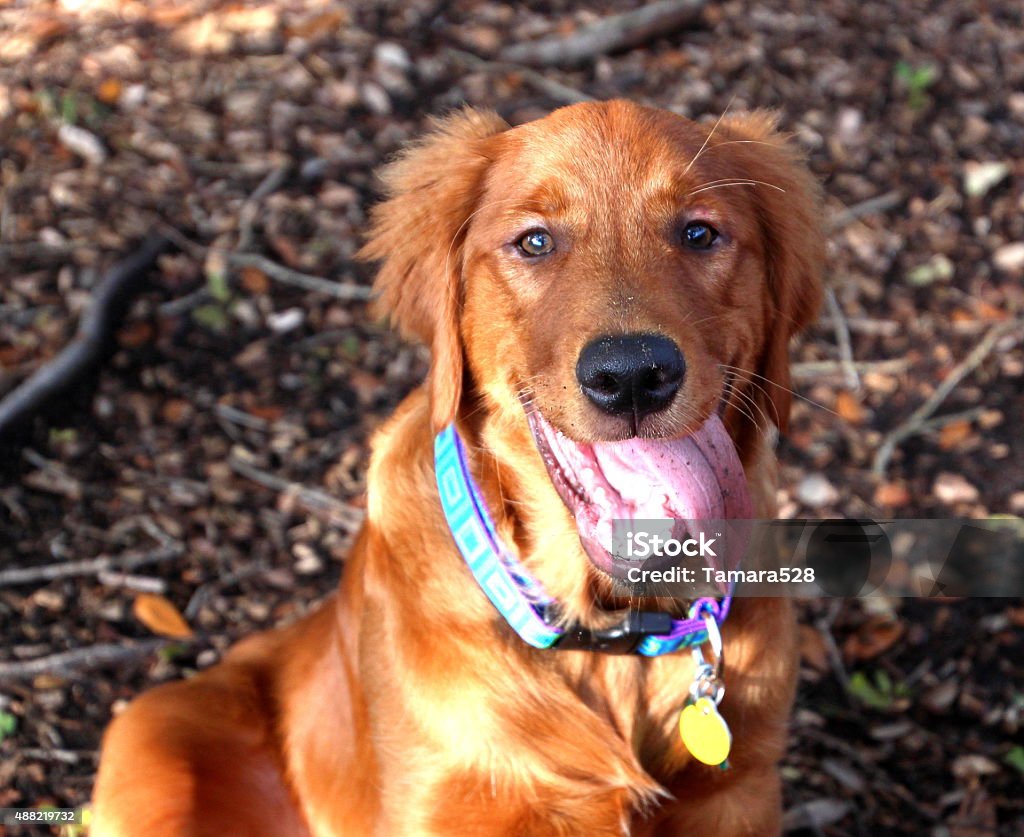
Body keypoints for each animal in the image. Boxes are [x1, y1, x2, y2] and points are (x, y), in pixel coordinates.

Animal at [94, 101, 823, 831]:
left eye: (700, 233)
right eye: (535, 242)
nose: (633, 375)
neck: (609, 632)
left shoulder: (741, 791)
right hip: (152, 740)